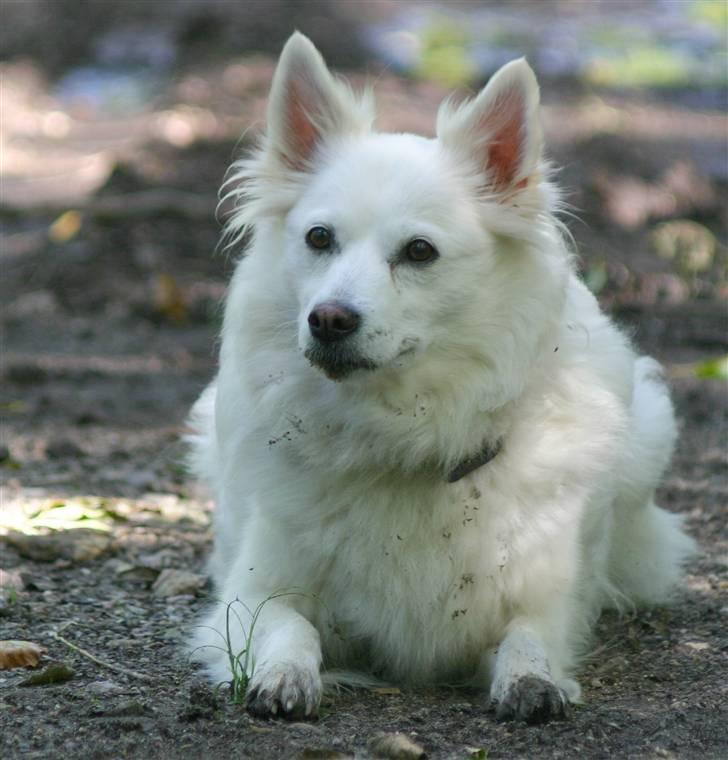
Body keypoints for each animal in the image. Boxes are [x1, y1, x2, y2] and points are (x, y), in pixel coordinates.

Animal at [186, 34, 692, 724]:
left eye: (419, 251)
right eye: (319, 238)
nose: (329, 319)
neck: (405, 433)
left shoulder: (543, 604)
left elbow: (528, 638)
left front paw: (533, 681)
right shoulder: (250, 595)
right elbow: (292, 626)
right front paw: (283, 674)